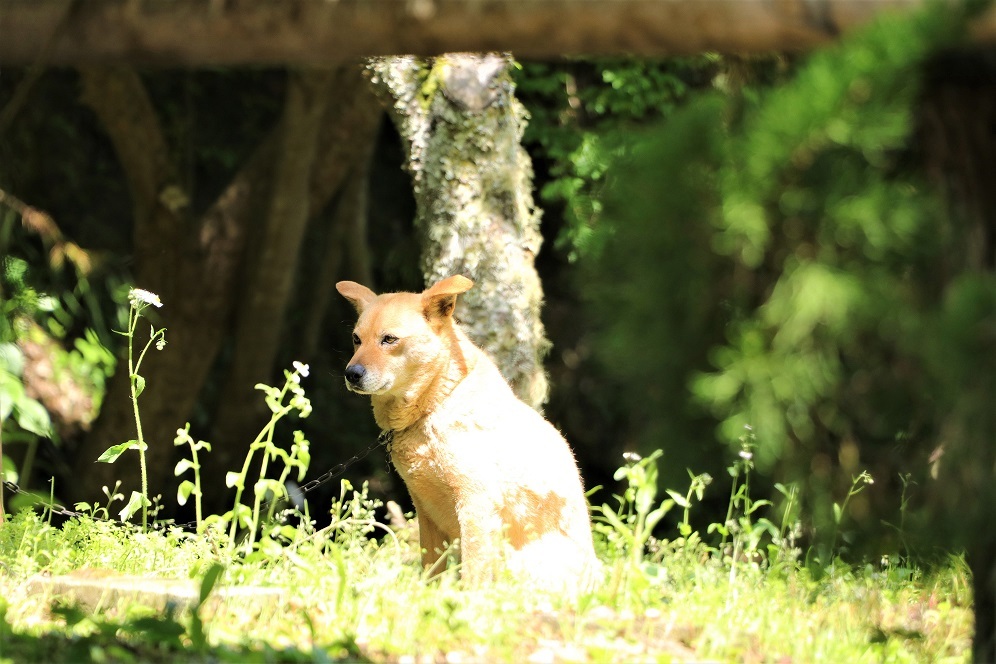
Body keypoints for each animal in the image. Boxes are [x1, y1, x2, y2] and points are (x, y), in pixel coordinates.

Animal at [334, 276, 600, 592]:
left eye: (389, 339)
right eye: (356, 339)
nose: (351, 373)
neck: (437, 402)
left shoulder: (475, 505)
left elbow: (472, 578)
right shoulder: (424, 508)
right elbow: (431, 570)